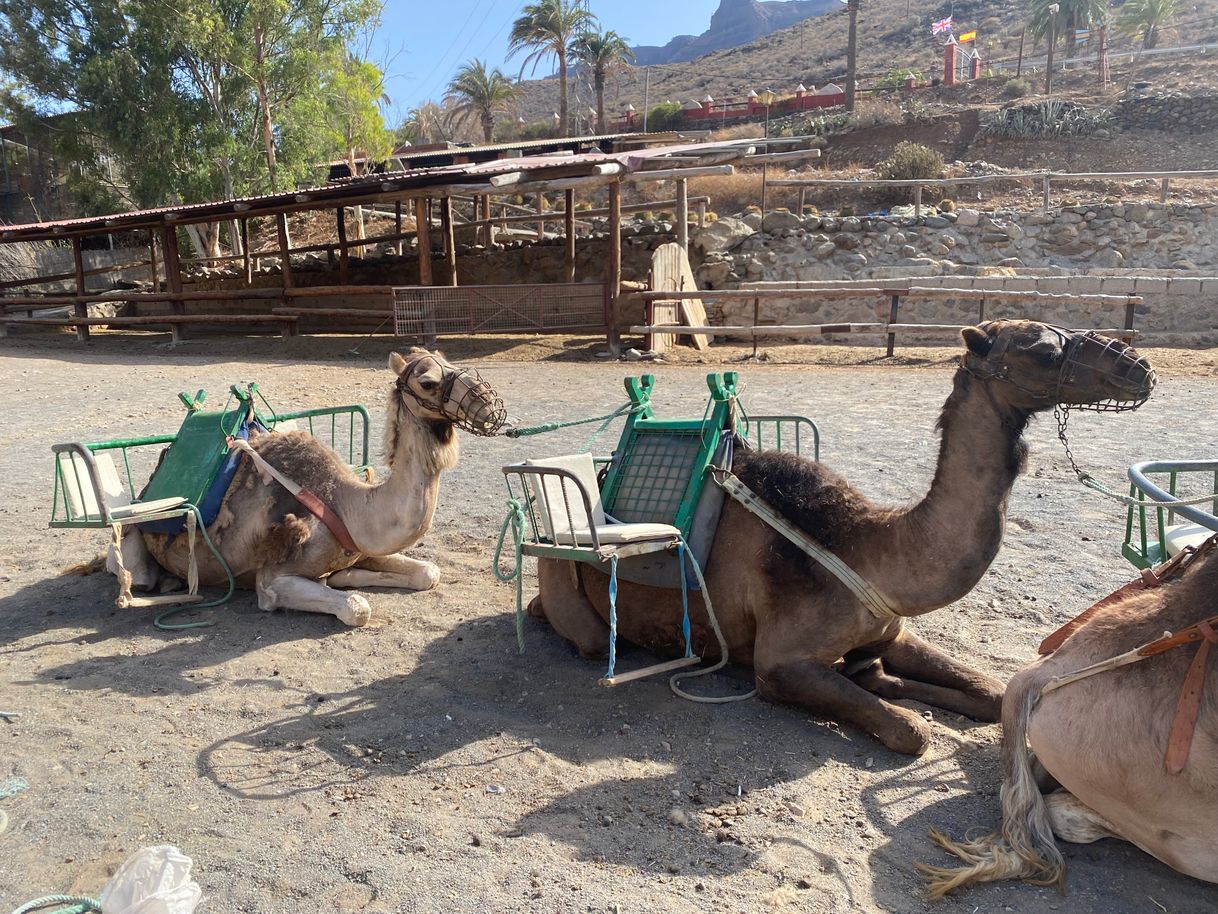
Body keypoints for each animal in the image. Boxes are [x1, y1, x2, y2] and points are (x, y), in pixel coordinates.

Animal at [114, 346, 504, 628]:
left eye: (451, 362)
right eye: (427, 382)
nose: (489, 404)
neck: (348, 504)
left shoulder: (360, 546)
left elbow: (429, 573)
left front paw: (342, 576)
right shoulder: (271, 580)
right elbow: (357, 608)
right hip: (134, 544)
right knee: (138, 578)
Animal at [528, 321, 1154, 760]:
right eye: (1044, 351)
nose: (1139, 366)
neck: (866, 551)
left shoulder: (889, 630)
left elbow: (990, 690)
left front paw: (892, 679)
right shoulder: (778, 664)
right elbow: (910, 731)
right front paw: (895, 699)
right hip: (573, 600)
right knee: (583, 635)